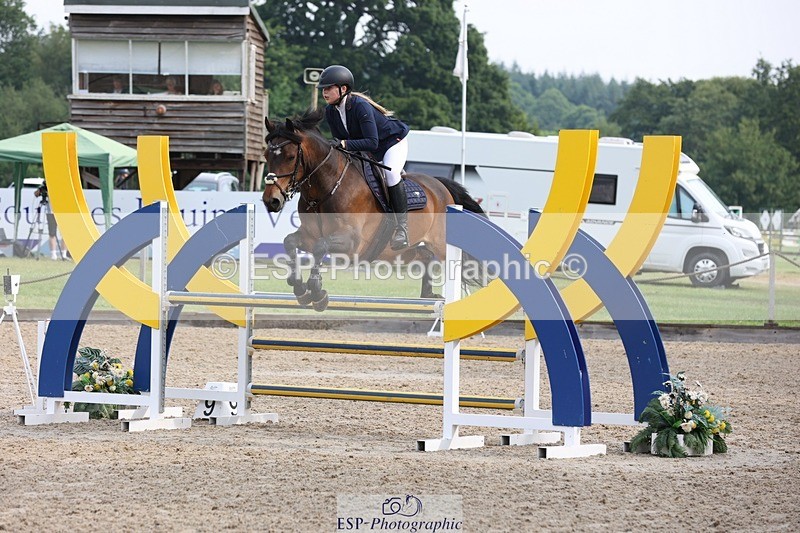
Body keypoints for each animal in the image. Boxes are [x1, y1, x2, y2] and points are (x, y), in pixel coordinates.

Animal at [262, 108, 484, 311]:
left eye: (291, 157)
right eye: (266, 155)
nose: (271, 201)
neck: (327, 187)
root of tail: (440, 185)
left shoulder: (352, 242)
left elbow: (320, 247)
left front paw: (317, 291)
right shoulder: (309, 234)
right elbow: (290, 242)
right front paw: (300, 289)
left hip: (439, 244)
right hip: (401, 252)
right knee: (426, 256)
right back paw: (428, 295)